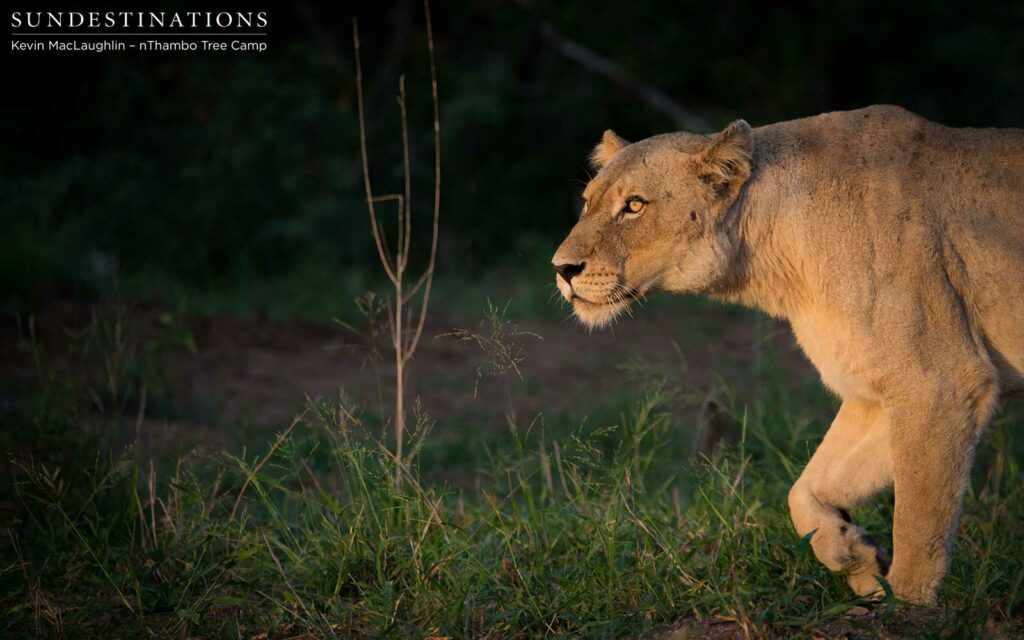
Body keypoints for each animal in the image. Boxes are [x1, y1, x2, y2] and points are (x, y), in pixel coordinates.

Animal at [552, 105, 1024, 605]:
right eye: (587, 202)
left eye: (635, 206)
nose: (562, 268)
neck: (783, 264)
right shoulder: (874, 395)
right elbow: (806, 490)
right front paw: (856, 558)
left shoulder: (939, 384)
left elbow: (919, 520)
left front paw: (904, 603)